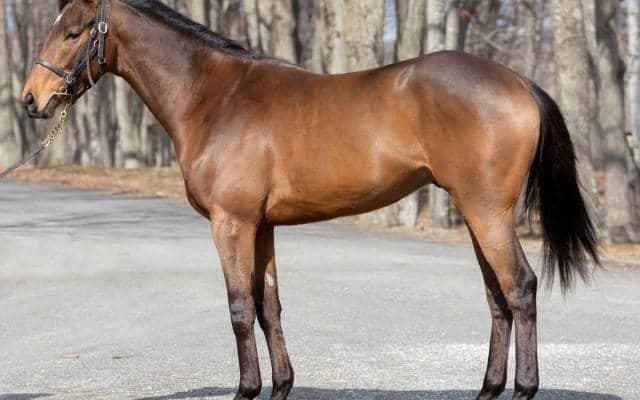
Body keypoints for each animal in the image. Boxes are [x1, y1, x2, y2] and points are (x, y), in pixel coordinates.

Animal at [21, 1, 600, 399]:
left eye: (73, 31)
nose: (31, 100)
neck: (215, 98)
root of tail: (518, 81)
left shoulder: (230, 224)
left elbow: (239, 308)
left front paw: (247, 389)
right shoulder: (262, 227)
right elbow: (268, 307)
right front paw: (280, 385)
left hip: (487, 212)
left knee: (519, 288)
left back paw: (523, 388)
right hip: (477, 214)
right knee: (498, 298)